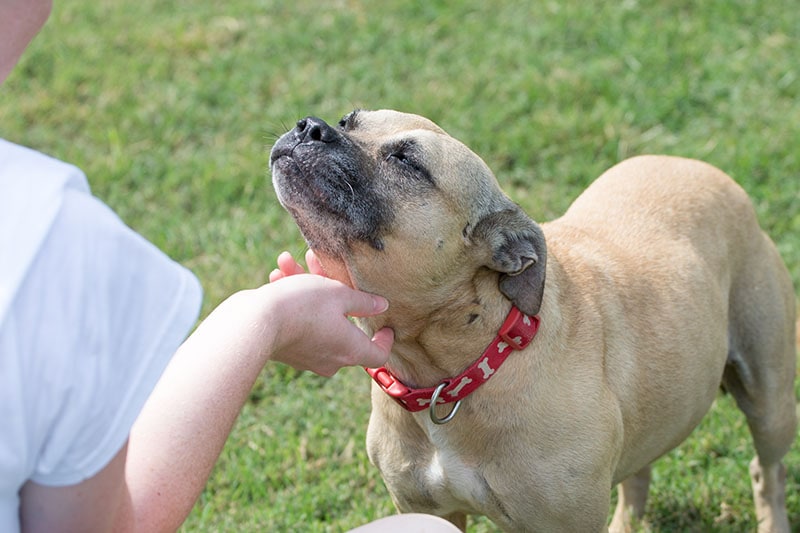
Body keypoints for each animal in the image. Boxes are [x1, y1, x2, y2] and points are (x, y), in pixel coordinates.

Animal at [272, 109, 796, 532]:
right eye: (348, 121)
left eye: (409, 163)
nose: (309, 126)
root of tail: (703, 168)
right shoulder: (428, 511)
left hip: (770, 402)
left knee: (766, 471)